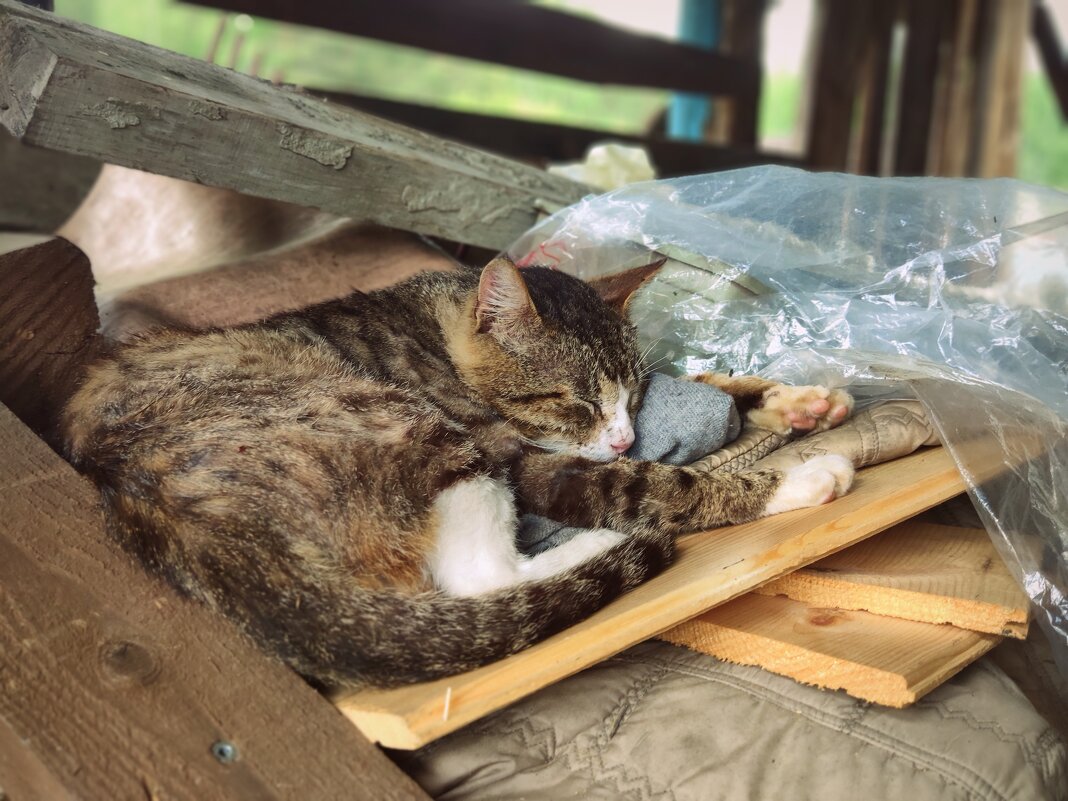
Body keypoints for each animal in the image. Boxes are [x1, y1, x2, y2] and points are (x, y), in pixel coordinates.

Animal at [64, 258, 850, 692]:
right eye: (574, 400)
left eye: (632, 393)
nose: (626, 435)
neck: (431, 321)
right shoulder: (524, 457)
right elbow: (646, 483)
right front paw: (797, 481)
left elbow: (706, 385)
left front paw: (798, 399)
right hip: (411, 427)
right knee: (483, 576)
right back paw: (602, 547)